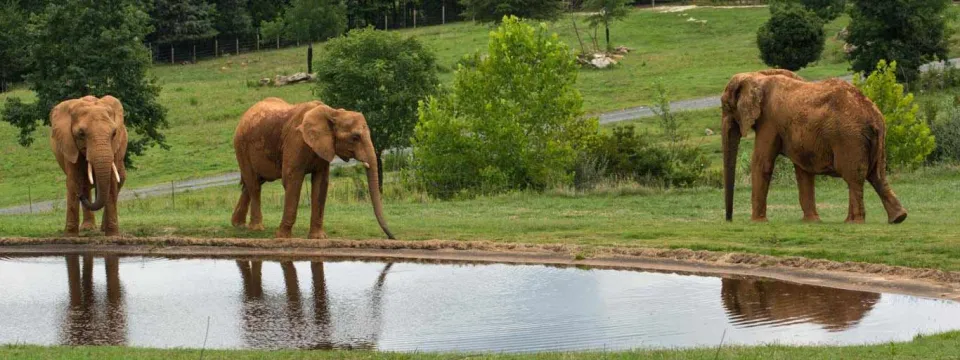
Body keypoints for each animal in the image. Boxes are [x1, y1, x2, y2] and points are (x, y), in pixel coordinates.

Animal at [50, 95, 128, 236]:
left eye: (114, 133)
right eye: (81, 134)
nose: (80, 196)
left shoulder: (115, 148)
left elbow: (112, 181)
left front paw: (113, 235)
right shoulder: (69, 145)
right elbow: (74, 181)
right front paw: (70, 236)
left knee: (120, 180)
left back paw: (102, 228)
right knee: (84, 184)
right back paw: (88, 228)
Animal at [230, 97, 394, 240]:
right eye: (355, 137)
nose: (391, 237)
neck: (333, 112)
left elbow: (321, 183)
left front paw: (318, 238)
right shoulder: (295, 141)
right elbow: (292, 180)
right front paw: (282, 237)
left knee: (252, 183)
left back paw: (238, 225)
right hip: (241, 146)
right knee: (254, 184)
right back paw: (256, 228)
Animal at [720, 69, 908, 224]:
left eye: (727, 106)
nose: (729, 220)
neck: (757, 75)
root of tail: (873, 115)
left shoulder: (769, 122)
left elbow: (762, 163)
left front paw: (757, 222)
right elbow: (803, 171)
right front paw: (812, 221)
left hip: (849, 139)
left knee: (854, 176)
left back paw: (853, 222)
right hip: (873, 140)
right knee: (877, 175)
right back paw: (898, 218)